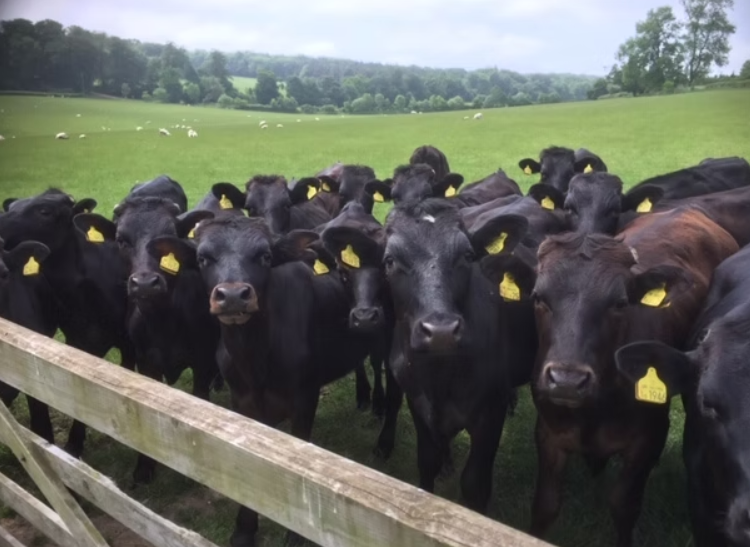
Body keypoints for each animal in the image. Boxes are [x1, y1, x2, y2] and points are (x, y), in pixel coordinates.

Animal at [151, 215, 398, 547]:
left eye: (265, 256)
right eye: (203, 258)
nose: (232, 296)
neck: (256, 358)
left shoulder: (305, 398)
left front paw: (295, 535)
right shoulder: (241, 398)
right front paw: (244, 529)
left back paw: (383, 434)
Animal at [382, 198, 534, 513]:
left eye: (467, 255)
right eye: (390, 261)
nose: (440, 331)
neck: (441, 377)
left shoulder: (491, 411)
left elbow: (475, 483)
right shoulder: (418, 401)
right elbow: (427, 462)